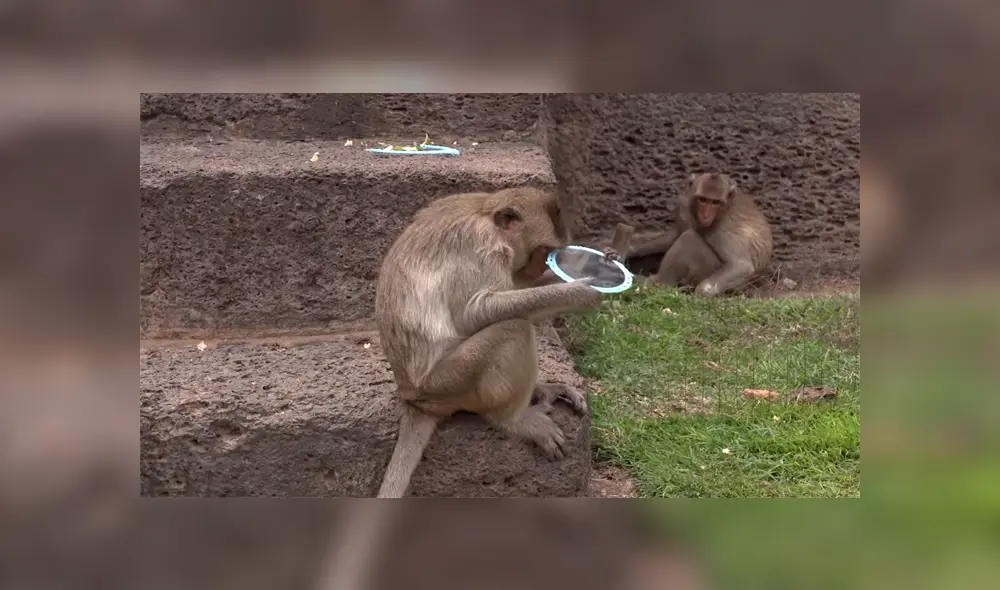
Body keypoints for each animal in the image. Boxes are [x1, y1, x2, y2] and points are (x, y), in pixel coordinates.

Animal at [373, 186, 602, 498]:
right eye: (542, 251)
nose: (539, 267)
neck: (486, 213)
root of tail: (414, 399)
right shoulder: (481, 248)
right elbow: (476, 311)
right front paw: (578, 292)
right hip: (447, 383)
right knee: (514, 327)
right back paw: (514, 420)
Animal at [628, 173, 772, 296]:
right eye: (703, 200)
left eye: (715, 202)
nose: (706, 215)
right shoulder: (684, 205)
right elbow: (673, 237)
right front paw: (632, 247)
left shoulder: (725, 227)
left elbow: (741, 265)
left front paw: (702, 292)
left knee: (689, 238)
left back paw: (658, 282)